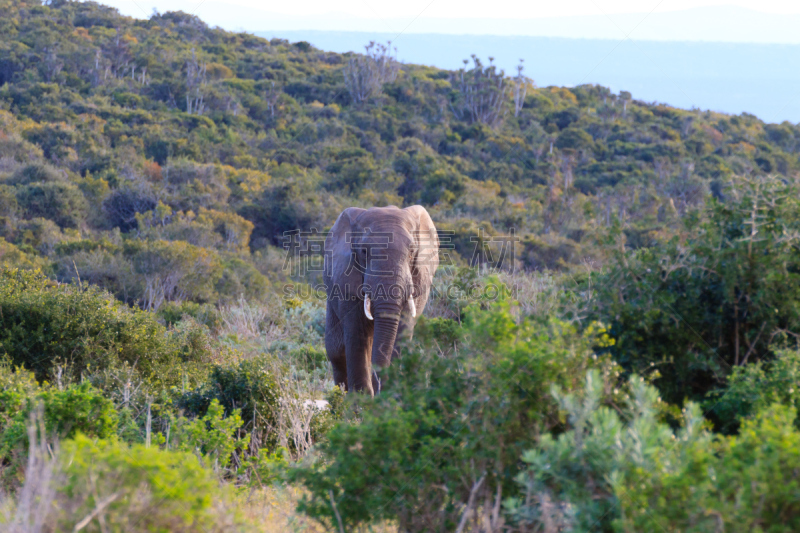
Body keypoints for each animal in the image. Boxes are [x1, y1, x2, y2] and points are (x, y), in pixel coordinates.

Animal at [322, 205, 440, 394]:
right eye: (364, 251)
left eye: (412, 252)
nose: (380, 389)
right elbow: (357, 335)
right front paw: (361, 400)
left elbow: (402, 330)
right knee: (337, 351)